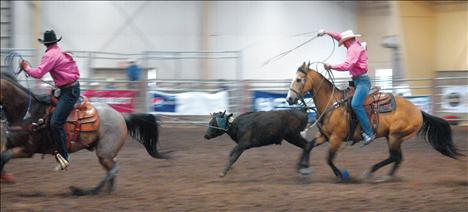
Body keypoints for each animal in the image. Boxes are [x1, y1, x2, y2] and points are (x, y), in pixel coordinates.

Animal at [0, 71, 166, 195]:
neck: (27, 113)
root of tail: (122, 117)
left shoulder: (28, 150)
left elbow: (4, 157)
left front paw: (6, 178)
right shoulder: (10, 143)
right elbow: (2, 155)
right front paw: (6, 177)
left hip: (104, 153)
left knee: (112, 170)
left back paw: (86, 191)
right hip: (107, 153)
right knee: (112, 171)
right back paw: (107, 192)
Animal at [288, 61, 462, 182]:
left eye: (299, 79)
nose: (289, 99)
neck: (333, 104)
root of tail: (418, 111)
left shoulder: (336, 138)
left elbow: (329, 159)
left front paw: (342, 176)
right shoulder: (324, 136)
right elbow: (308, 146)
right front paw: (302, 169)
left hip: (395, 135)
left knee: (395, 157)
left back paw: (373, 172)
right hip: (393, 137)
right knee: (398, 158)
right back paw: (386, 176)